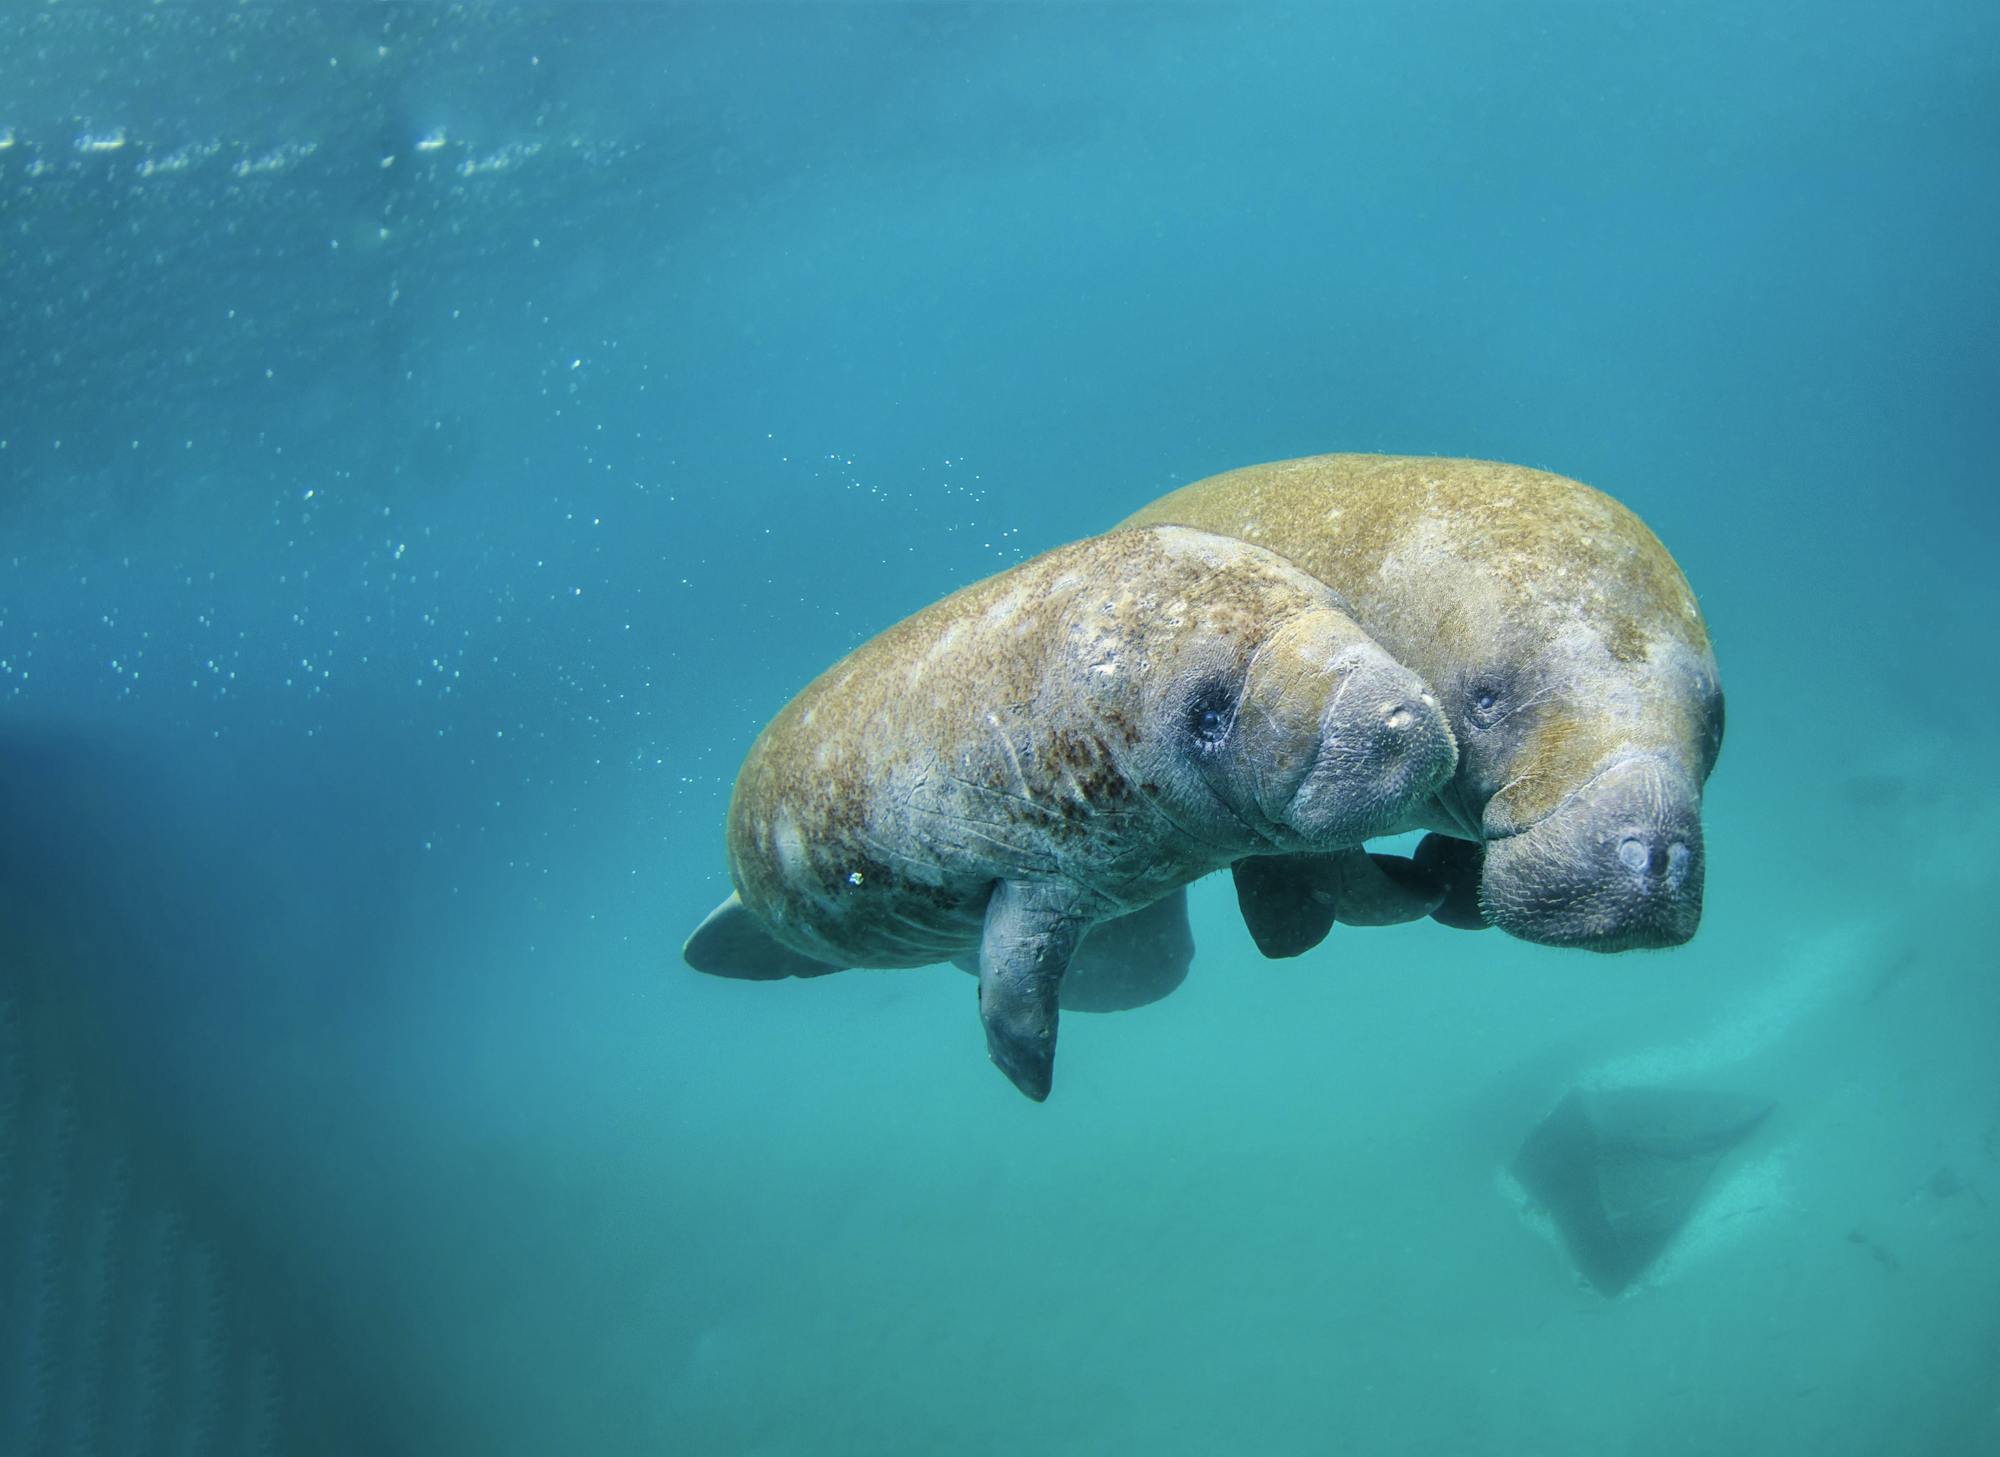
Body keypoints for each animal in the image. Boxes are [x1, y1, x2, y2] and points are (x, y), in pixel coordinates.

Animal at [684, 520, 1456, 1088]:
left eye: (1348, 613)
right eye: (1208, 715)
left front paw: (1419, 885)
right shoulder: (1034, 867)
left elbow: (1353, 884)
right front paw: (1027, 1077)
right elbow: (1016, 984)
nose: (1403, 715)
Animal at [1120, 456, 1728, 956]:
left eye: (1716, 728)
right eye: (1486, 700)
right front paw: (1421, 890)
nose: (1655, 856)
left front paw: (1447, 884)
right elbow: (1341, 878)